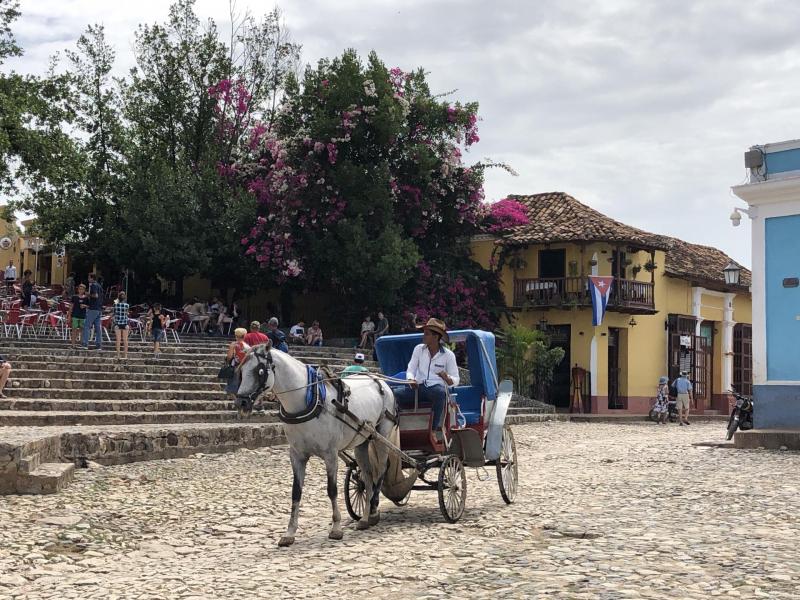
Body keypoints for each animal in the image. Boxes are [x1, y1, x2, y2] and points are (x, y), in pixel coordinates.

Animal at [238, 344, 400, 548]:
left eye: (259, 371)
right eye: (241, 369)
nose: (242, 401)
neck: (308, 401)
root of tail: (381, 381)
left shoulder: (330, 454)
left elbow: (332, 490)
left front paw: (336, 528)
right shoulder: (297, 455)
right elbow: (296, 492)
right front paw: (289, 533)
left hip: (382, 435)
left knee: (381, 470)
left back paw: (373, 510)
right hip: (362, 441)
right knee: (368, 476)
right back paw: (364, 518)